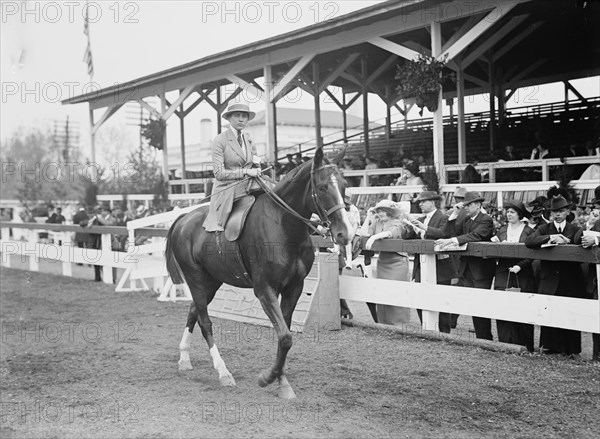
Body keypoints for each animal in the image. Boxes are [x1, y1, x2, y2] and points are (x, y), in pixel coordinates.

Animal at [164, 150, 352, 400]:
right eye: (322, 187)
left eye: (344, 185)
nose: (344, 234)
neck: (283, 225)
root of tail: (183, 219)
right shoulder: (265, 290)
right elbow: (285, 336)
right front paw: (268, 378)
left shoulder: (294, 288)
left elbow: (284, 335)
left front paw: (282, 380)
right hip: (195, 278)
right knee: (205, 322)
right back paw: (223, 372)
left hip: (211, 282)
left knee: (194, 310)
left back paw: (184, 358)